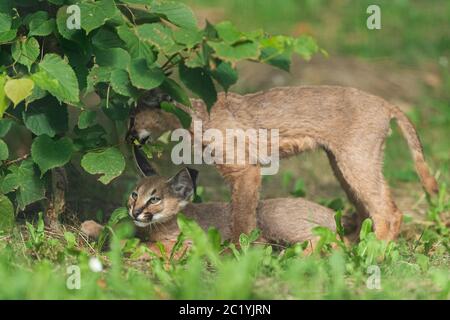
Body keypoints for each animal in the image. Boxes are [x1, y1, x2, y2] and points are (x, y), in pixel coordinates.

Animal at [81, 168, 334, 248]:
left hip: (272, 218)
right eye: (135, 194)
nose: (134, 212)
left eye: (155, 199)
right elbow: (121, 230)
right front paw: (93, 227)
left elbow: (141, 245)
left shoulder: (182, 246)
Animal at [128, 86, 438, 241]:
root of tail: (385, 103)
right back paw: (354, 248)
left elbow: (242, 218)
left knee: (389, 212)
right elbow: (241, 214)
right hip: (343, 165)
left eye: (133, 117)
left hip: (356, 161)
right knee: (369, 210)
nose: (128, 137)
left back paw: (374, 255)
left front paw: (238, 254)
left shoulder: (246, 171)